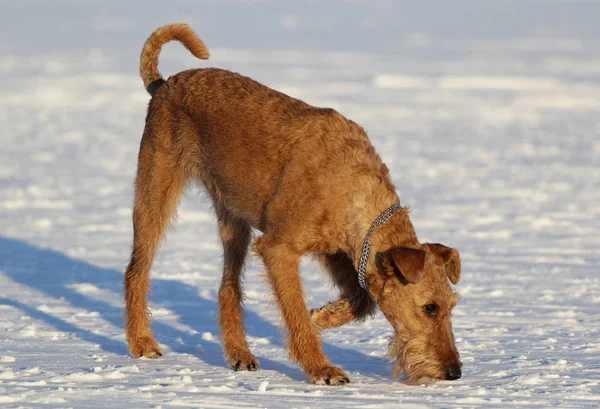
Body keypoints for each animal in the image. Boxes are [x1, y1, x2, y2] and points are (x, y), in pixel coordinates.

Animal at [125, 23, 464, 386]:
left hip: (233, 217)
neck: (352, 189)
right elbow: (296, 312)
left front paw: (321, 317)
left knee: (228, 287)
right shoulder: (279, 249)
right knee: (136, 269)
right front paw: (322, 368)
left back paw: (239, 354)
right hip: (156, 193)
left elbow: (361, 301)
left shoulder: (336, 252)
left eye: (452, 305)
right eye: (430, 307)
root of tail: (163, 84)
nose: (454, 372)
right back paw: (142, 342)